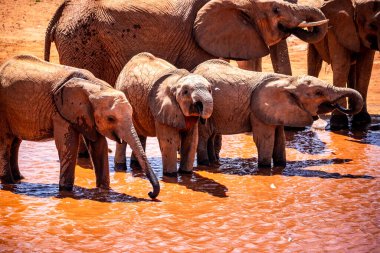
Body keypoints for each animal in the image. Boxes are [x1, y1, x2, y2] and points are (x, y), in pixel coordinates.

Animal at [0, 54, 160, 199]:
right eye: (111, 118)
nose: (150, 193)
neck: (96, 87)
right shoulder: (61, 113)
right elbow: (68, 146)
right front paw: (66, 191)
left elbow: (98, 146)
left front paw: (104, 190)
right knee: (6, 142)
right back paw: (8, 182)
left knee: (15, 142)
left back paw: (19, 179)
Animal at [194, 59, 364, 168]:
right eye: (318, 92)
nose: (346, 160)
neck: (289, 81)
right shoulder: (259, 113)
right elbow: (265, 139)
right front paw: (264, 168)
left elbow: (280, 139)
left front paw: (281, 166)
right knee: (204, 136)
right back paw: (205, 164)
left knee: (211, 136)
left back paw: (214, 163)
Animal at [308, 0, 380, 129]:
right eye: (372, 25)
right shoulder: (335, 28)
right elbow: (341, 64)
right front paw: (339, 124)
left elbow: (365, 68)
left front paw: (362, 121)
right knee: (315, 63)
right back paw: (314, 117)